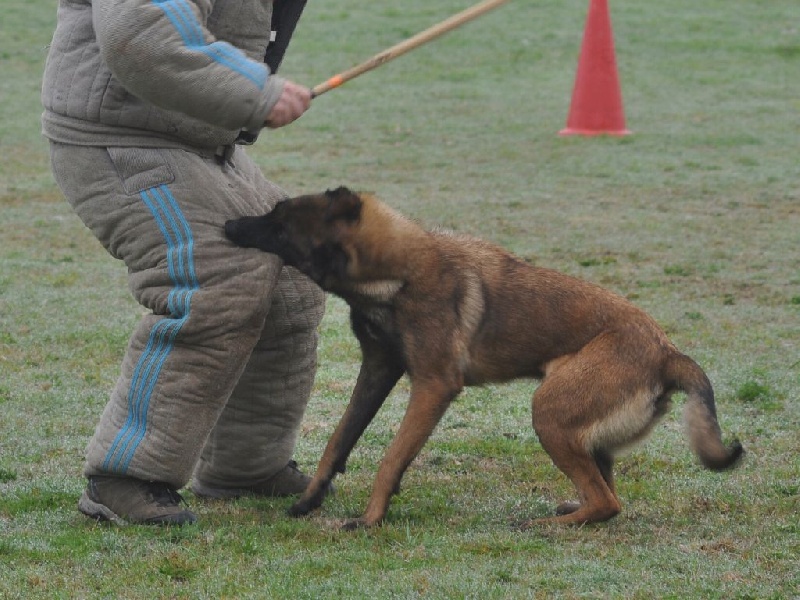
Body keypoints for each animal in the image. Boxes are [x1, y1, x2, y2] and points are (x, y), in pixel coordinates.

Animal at [225, 188, 744, 528]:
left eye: (277, 220)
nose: (228, 224)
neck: (397, 272)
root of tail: (668, 351)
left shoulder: (433, 386)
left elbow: (391, 456)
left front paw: (371, 519)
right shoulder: (378, 370)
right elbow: (338, 439)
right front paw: (311, 499)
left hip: (549, 412)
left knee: (608, 502)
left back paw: (546, 526)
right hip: (581, 428)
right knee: (607, 495)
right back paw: (572, 511)